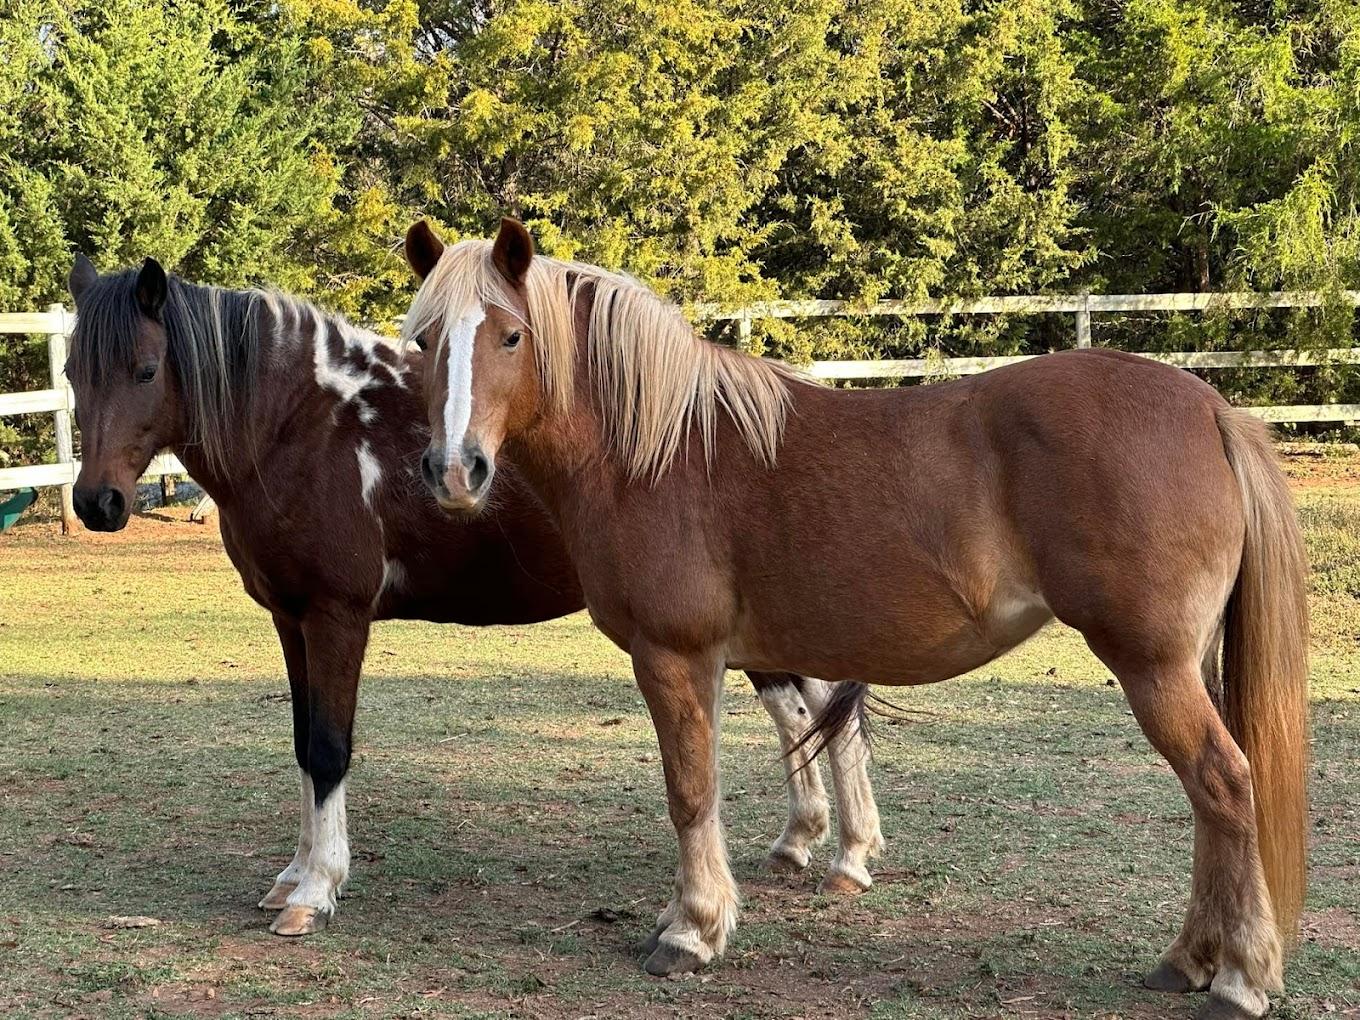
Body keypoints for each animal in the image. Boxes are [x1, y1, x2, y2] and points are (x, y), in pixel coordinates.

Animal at [61, 255, 884, 939]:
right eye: (70, 370)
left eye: (143, 369)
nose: (98, 503)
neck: (304, 428)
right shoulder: (291, 620)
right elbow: (302, 745)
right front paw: (294, 875)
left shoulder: (336, 617)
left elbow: (329, 749)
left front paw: (315, 891)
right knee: (806, 711)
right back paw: (818, 843)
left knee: (820, 709)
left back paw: (845, 855)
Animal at [401, 217, 1309, 1020]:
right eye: (424, 341)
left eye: (511, 336)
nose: (454, 470)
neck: (654, 450)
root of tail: (1210, 409)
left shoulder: (676, 655)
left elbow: (691, 791)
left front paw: (691, 932)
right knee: (1212, 799)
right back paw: (1189, 959)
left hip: (1152, 665)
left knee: (1224, 786)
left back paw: (1239, 980)